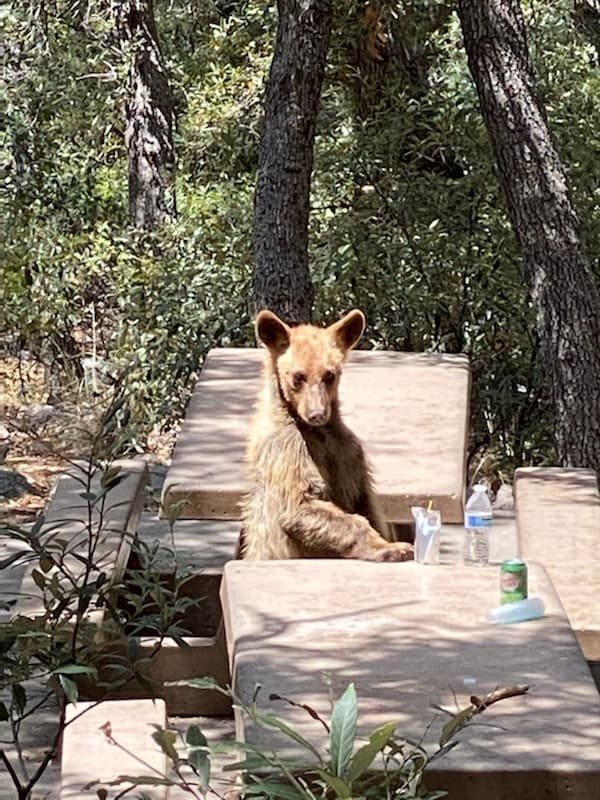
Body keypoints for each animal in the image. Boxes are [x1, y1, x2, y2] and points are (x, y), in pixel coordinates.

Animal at [240, 308, 414, 562]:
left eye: (329, 375)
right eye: (298, 376)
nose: (317, 414)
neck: (317, 432)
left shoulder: (346, 452)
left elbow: (364, 500)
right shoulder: (288, 451)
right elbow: (302, 503)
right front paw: (393, 548)